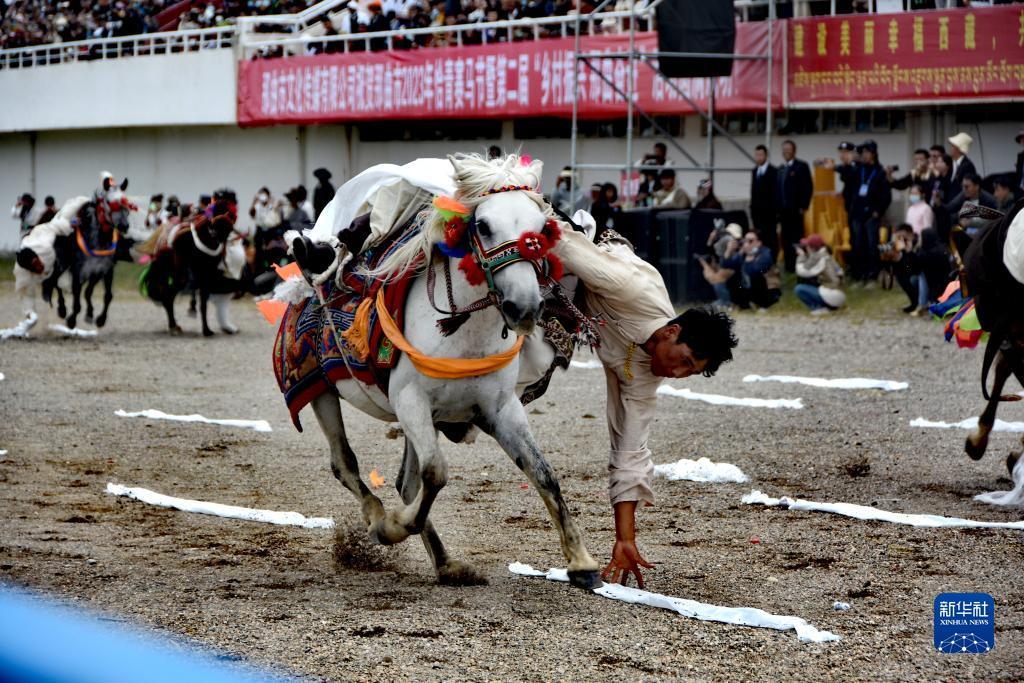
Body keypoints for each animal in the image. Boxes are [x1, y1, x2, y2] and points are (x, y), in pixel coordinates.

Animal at [46, 174, 136, 327]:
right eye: (109, 201)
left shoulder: (105, 270)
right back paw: (62, 309)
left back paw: (88, 313)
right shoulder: (78, 270)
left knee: (86, 291)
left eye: (126, 202)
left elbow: (107, 295)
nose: (124, 226)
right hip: (61, 264)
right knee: (55, 282)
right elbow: (77, 298)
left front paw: (100, 319)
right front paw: (71, 320)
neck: (98, 241)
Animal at [299, 154, 598, 589]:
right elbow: (436, 472)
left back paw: (445, 563)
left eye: (542, 229)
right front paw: (392, 527)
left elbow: (543, 473)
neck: (466, 334)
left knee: (406, 481)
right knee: (346, 462)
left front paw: (581, 562)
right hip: (319, 390)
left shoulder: (501, 409)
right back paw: (378, 518)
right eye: (484, 225)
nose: (524, 308)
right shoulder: (410, 402)